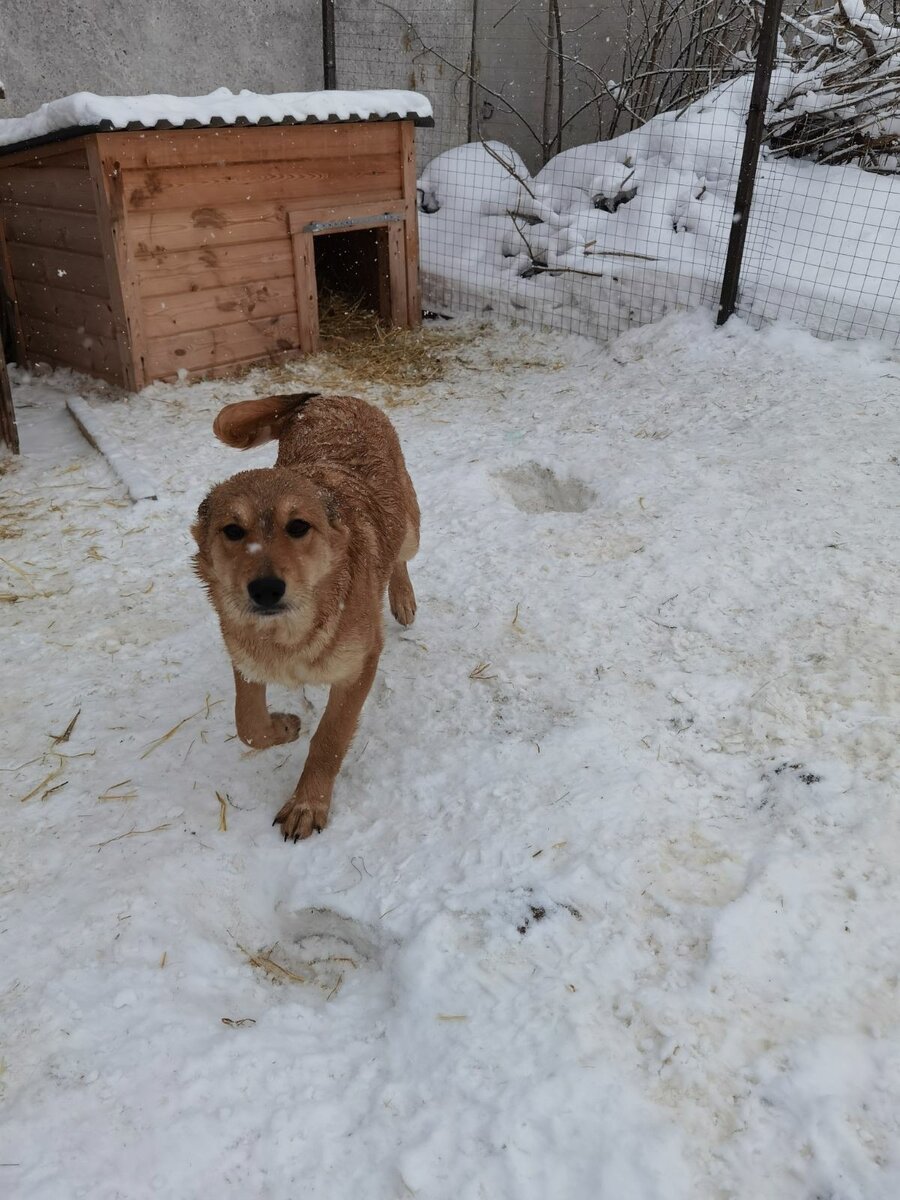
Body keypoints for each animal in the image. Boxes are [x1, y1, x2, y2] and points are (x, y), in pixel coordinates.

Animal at [192, 388, 422, 840]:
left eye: (298, 526)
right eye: (233, 531)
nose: (265, 589)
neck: (290, 635)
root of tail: (331, 396)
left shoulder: (358, 667)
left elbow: (329, 741)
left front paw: (307, 804)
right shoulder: (246, 659)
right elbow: (247, 726)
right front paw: (283, 727)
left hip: (410, 526)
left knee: (400, 556)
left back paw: (403, 598)